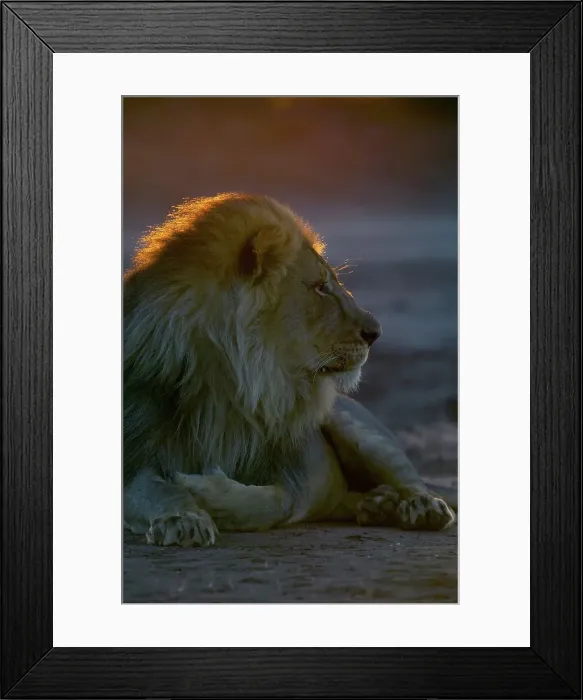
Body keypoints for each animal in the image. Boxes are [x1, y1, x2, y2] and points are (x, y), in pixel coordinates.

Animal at [124, 193, 456, 546]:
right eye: (321, 287)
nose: (376, 332)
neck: (226, 383)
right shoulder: (135, 453)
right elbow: (154, 489)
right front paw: (183, 518)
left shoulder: (295, 473)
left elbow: (272, 502)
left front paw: (204, 493)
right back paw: (379, 504)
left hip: (354, 425)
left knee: (411, 480)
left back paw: (421, 506)